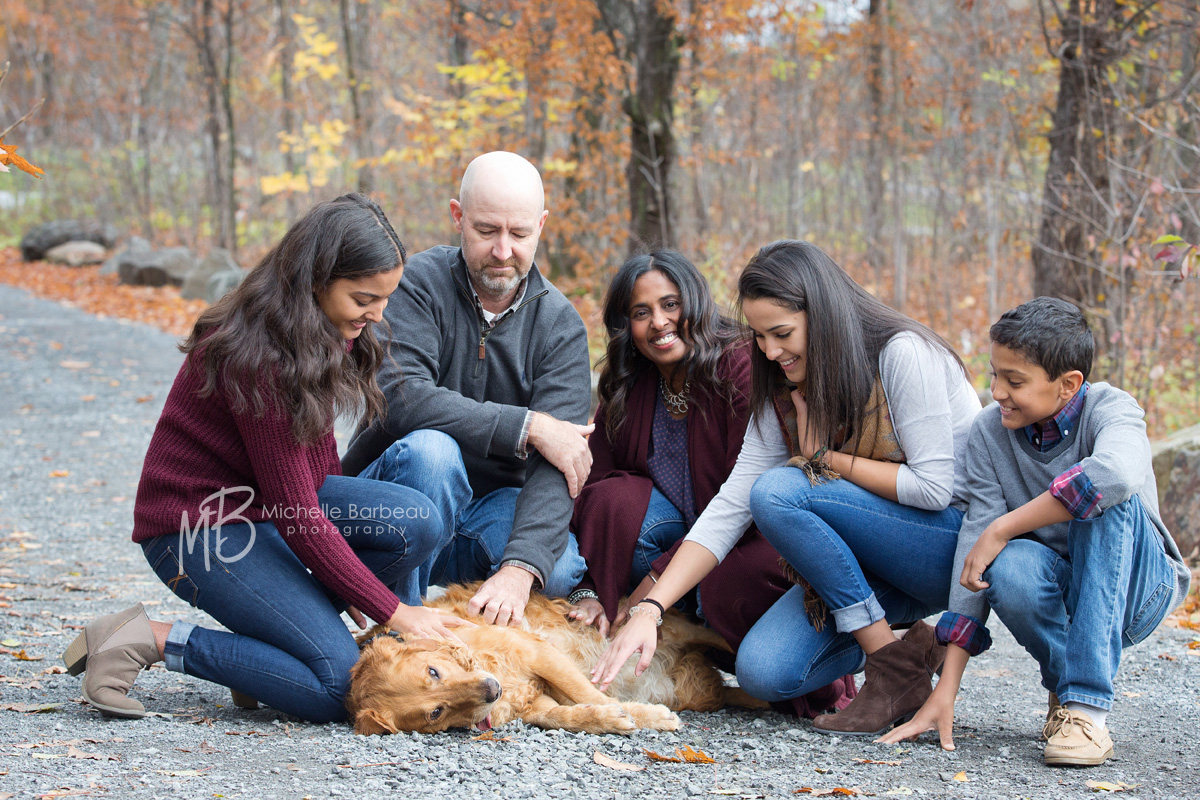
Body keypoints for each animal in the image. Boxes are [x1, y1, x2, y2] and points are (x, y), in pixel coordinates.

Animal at [345, 585, 768, 734]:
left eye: (434, 671)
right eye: (435, 712)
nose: (491, 691)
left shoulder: (541, 654)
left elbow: (590, 693)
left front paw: (641, 716)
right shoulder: (536, 705)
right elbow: (571, 715)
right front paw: (610, 719)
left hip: (685, 631)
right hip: (699, 695)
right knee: (733, 693)